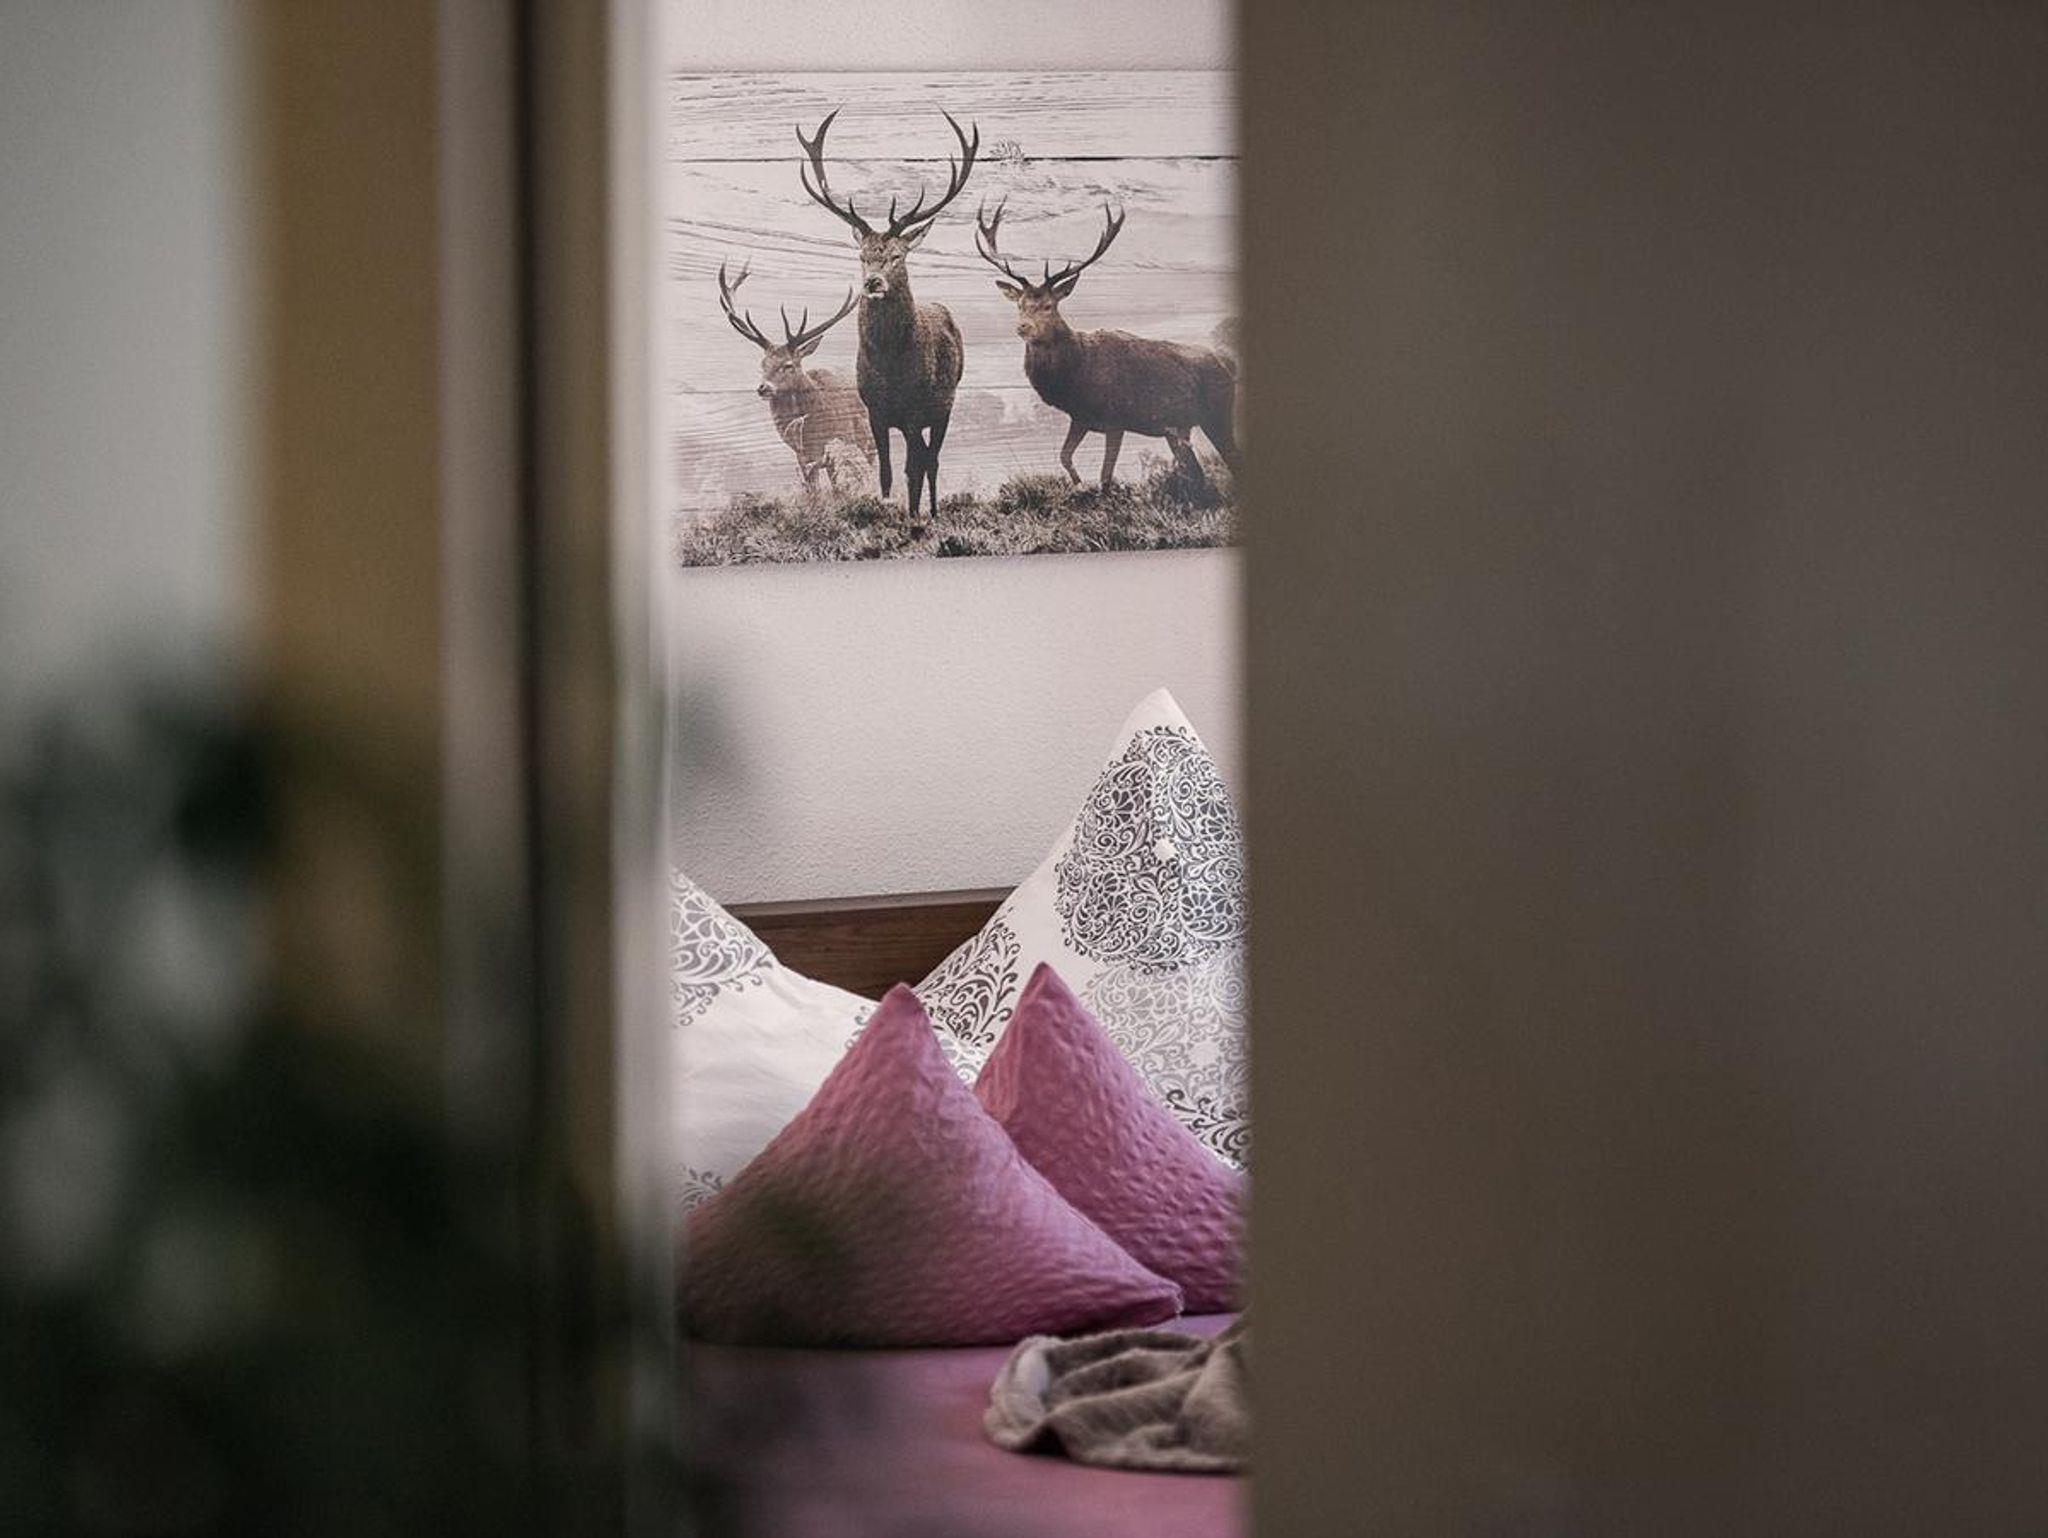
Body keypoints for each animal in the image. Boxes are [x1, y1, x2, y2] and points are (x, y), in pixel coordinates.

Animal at [717, 259, 875, 495]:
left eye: (788, 365)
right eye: (763, 364)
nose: (764, 388)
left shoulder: (840, 442)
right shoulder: (802, 456)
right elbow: (813, 492)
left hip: (868, 438)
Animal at [795, 108, 980, 518]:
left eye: (897, 255)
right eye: (862, 256)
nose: (873, 282)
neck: (891, 369)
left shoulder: (914, 410)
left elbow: (914, 467)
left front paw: (914, 518)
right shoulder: (875, 412)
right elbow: (886, 472)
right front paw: (887, 508)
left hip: (945, 404)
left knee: (931, 459)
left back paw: (932, 512)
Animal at [974, 200, 1240, 493]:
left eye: (1048, 305)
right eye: (1019, 304)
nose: (1023, 327)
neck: (1075, 376)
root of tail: (1227, 363)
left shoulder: (1116, 420)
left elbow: (1105, 475)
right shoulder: (1080, 419)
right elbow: (1064, 457)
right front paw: (1079, 485)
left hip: (1218, 412)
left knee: (1232, 459)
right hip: (1178, 428)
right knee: (1195, 471)